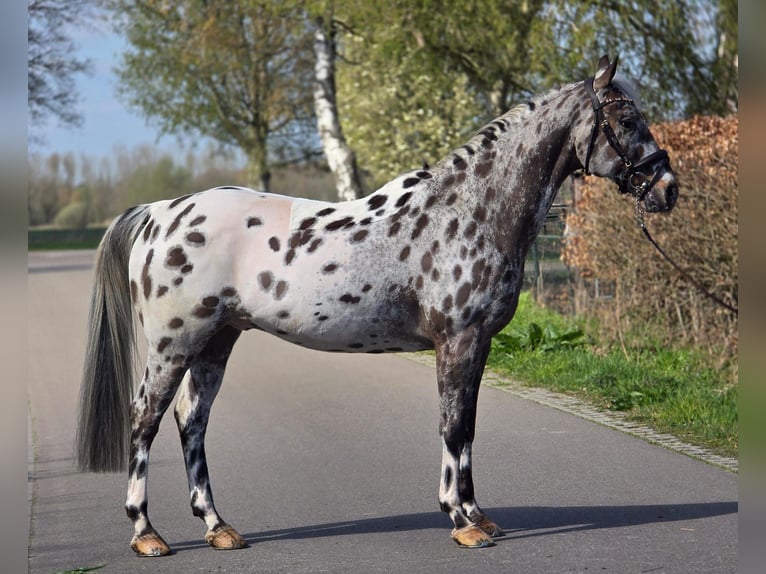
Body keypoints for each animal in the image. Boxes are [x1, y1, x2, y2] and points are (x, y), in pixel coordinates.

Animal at [76, 55, 678, 556]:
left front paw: (478, 515)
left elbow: (467, 426)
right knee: (144, 420)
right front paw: (460, 522)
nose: (667, 187)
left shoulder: (478, 344)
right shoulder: (457, 341)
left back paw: (218, 527)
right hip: (173, 344)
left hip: (216, 341)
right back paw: (147, 534)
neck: (469, 212)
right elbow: (452, 426)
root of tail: (161, 212)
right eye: (626, 119)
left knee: (191, 421)